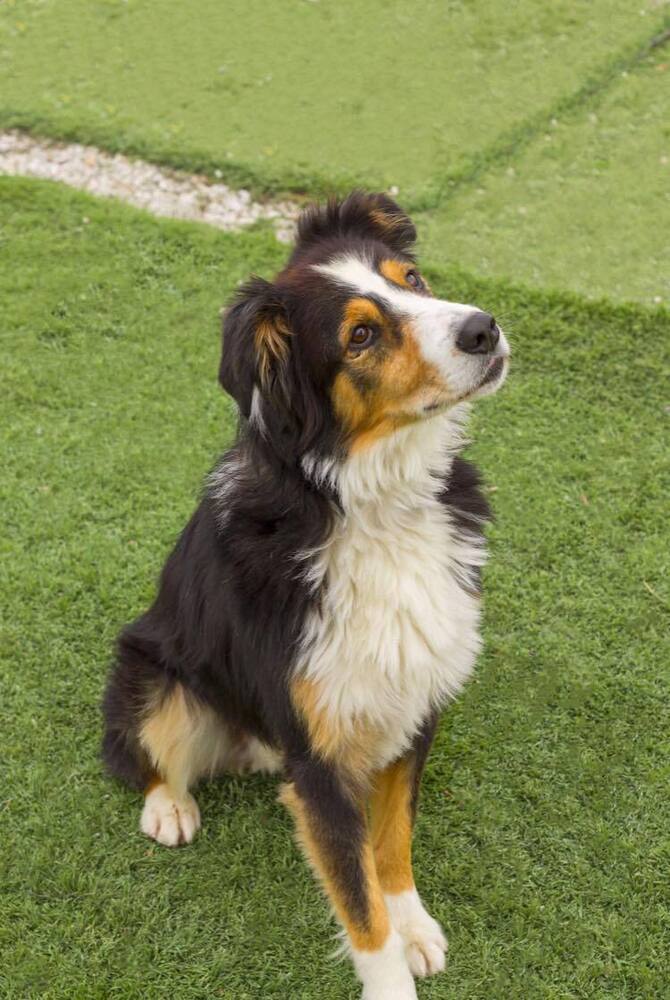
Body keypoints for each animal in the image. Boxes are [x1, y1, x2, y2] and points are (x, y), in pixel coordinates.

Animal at [101, 191, 510, 996]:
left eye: (413, 279)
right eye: (360, 335)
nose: (483, 328)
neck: (378, 504)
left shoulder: (415, 698)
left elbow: (391, 837)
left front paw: (414, 922)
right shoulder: (317, 754)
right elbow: (357, 901)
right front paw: (391, 972)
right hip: (152, 670)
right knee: (139, 753)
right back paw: (169, 808)